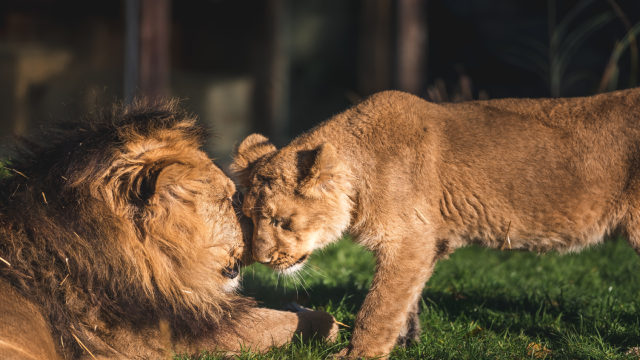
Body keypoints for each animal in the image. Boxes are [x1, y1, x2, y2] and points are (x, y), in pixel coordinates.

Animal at [235, 88, 640, 358]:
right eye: (250, 219)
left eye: (282, 221)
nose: (263, 260)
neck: (359, 172)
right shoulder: (424, 243)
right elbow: (405, 302)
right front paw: (406, 342)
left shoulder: (409, 240)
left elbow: (377, 307)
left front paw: (357, 354)